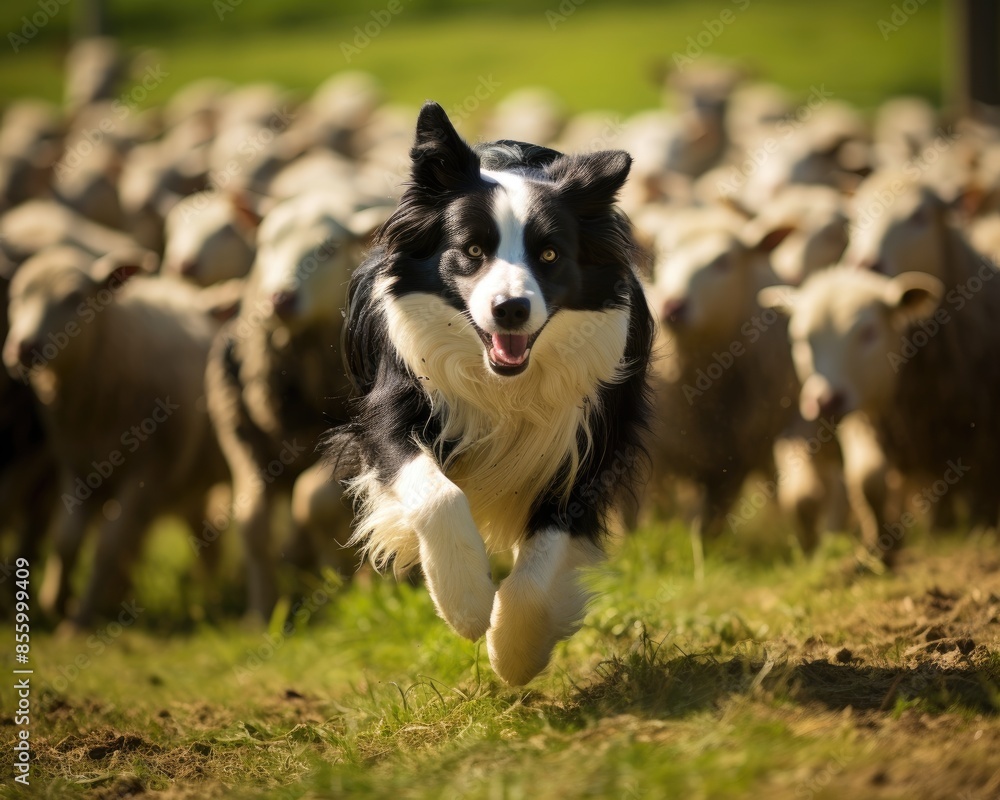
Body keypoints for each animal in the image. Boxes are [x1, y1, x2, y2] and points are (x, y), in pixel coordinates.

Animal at [2, 245, 231, 624]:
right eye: (17, 295)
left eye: (74, 298)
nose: (22, 348)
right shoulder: (77, 467)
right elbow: (66, 539)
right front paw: (57, 603)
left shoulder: (146, 472)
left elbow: (107, 547)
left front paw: (79, 620)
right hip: (188, 477)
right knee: (203, 533)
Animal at [205, 191, 375, 618]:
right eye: (265, 243)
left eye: (329, 249)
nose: (280, 298)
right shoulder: (244, 441)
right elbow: (252, 522)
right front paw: (262, 612)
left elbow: (311, 500)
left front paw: (335, 581)